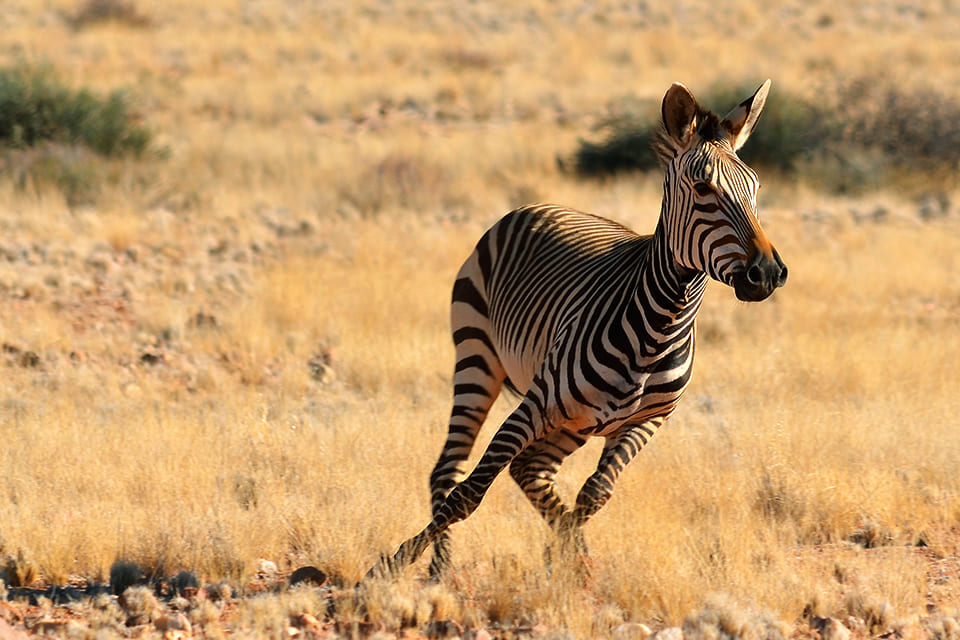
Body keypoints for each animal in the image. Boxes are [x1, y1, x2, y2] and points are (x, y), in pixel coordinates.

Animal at [367, 80, 787, 580]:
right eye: (703, 188)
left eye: (756, 188)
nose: (768, 273)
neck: (661, 324)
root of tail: (541, 204)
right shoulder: (536, 404)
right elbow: (468, 494)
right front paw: (387, 568)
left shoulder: (646, 422)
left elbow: (594, 494)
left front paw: (568, 558)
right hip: (476, 358)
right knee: (449, 471)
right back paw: (439, 567)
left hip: (574, 421)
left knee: (530, 470)